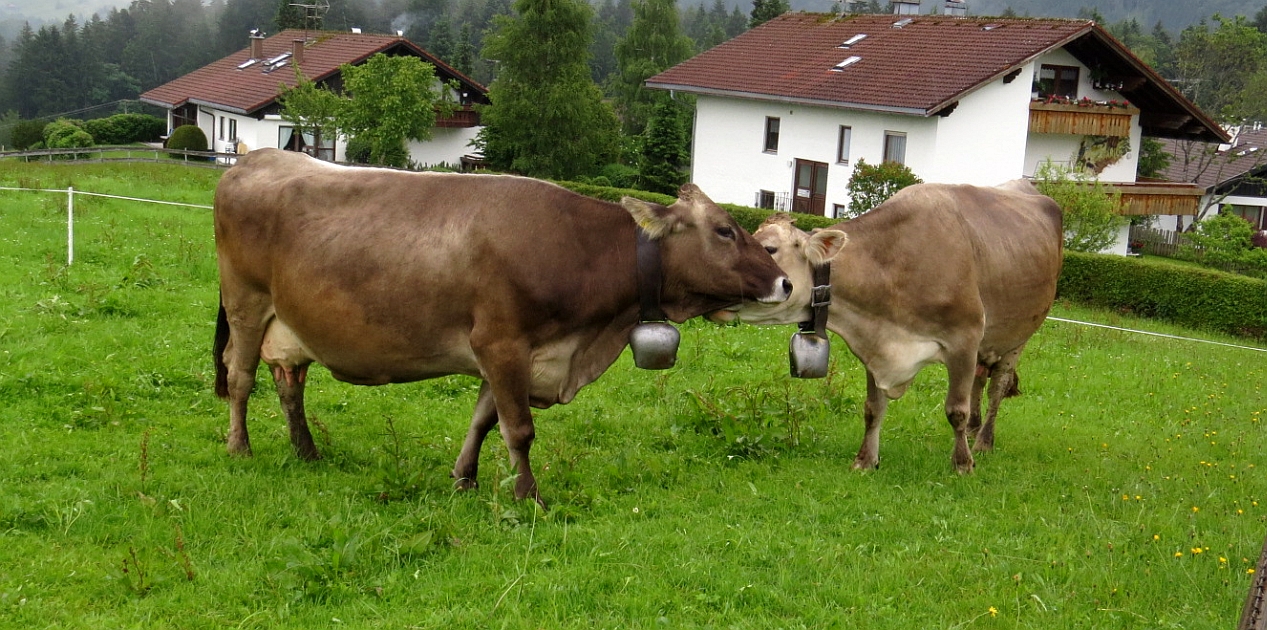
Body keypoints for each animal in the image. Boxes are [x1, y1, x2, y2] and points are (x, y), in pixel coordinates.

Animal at [212, 148, 791, 504]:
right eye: (725, 230)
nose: (785, 282)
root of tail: (256, 157)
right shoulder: (501, 342)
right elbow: (519, 429)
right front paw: (527, 495)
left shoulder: (514, 353)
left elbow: (482, 421)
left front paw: (464, 479)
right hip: (245, 303)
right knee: (239, 376)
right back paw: (239, 448)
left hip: (290, 324)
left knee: (289, 384)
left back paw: (306, 451)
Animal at [712, 181, 1062, 473]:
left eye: (769, 249)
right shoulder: (874, 343)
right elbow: (873, 408)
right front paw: (865, 460)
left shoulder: (965, 339)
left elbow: (956, 410)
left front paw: (962, 464)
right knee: (980, 379)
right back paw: (976, 430)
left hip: (1019, 336)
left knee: (997, 387)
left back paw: (983, 441)